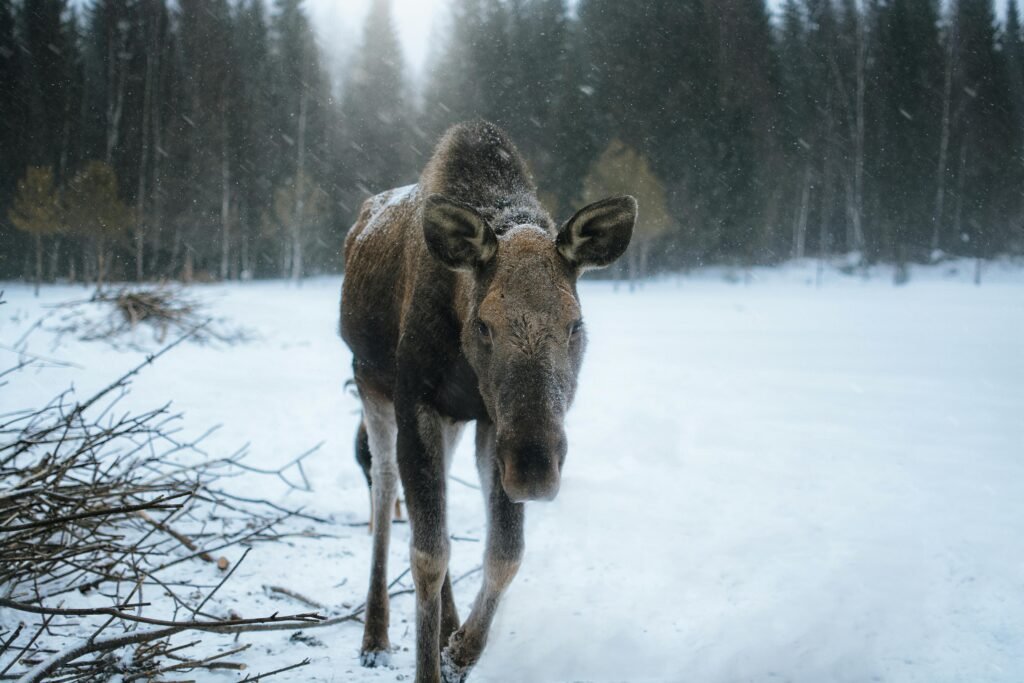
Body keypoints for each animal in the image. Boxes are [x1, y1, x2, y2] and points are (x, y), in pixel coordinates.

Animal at [339, 122, 634, 683]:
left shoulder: (490, 423)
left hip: (454, 422)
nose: (535, 470)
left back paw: (448, 625)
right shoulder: (417, 401)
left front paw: (458, 652)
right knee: (384, 488)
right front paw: (429, 664)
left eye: (575, 324)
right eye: (483, 324)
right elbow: (428, 554)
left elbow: (506, 552)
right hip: (370, 384)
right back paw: (375, 635)